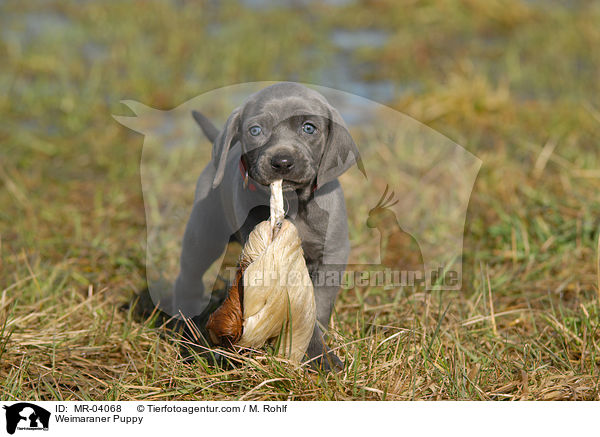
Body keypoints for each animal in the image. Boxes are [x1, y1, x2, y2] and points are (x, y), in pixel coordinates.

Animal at [171, 81, 364, 368]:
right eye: (255, 130)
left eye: (309, 128)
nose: (282, 162)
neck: (293, 202)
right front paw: (321, 356)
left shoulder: (333, 252)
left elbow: (319, 302)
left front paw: (321, 353)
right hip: (203, 233)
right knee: (189, 275)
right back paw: (185, 325)